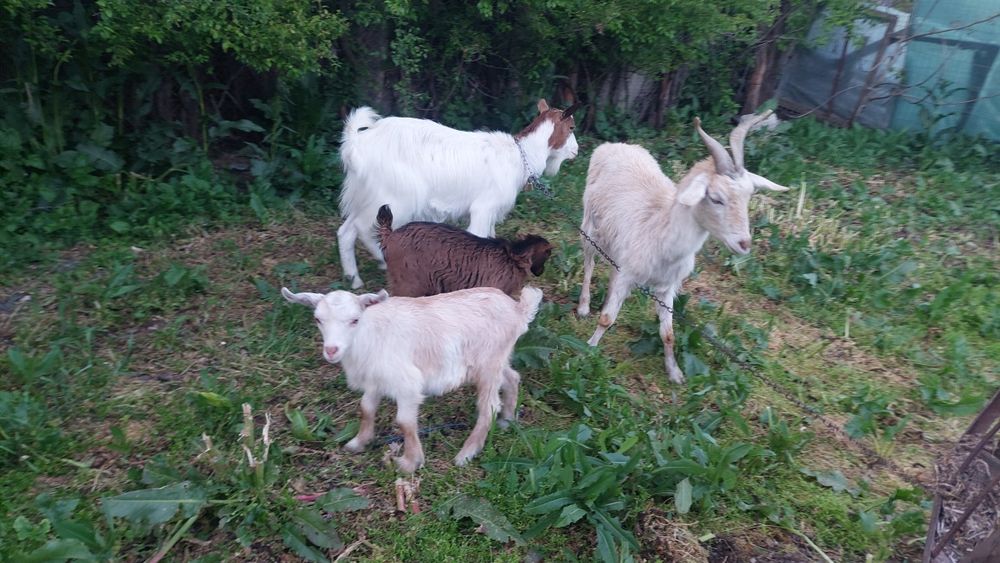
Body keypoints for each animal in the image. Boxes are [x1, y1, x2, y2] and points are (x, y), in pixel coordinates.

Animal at [282, 285, 543, 473]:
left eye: (355, 320)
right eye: (318, 319)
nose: (331, 350)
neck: (370, 333)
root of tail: (518, 309)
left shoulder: (407, 383)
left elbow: (405, 422)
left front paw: (409, 462)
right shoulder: (375, 379)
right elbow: (366, 408)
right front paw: (358, 442)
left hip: (489, 363)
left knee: (488, 406)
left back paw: (465, 454)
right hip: (494, 360)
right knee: (512, 377)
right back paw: (508, 419)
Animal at [577, 111, 788, 384]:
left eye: (749, 195)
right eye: (716, 198)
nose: (744, 244)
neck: (659, 231)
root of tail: (613, 145)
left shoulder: (666, 286)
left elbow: (668, 333)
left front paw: (675, 372)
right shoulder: (628, 274)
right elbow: (607, 319)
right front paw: (589, 349)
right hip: (589, 227)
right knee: (588, 262)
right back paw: (583, 306)